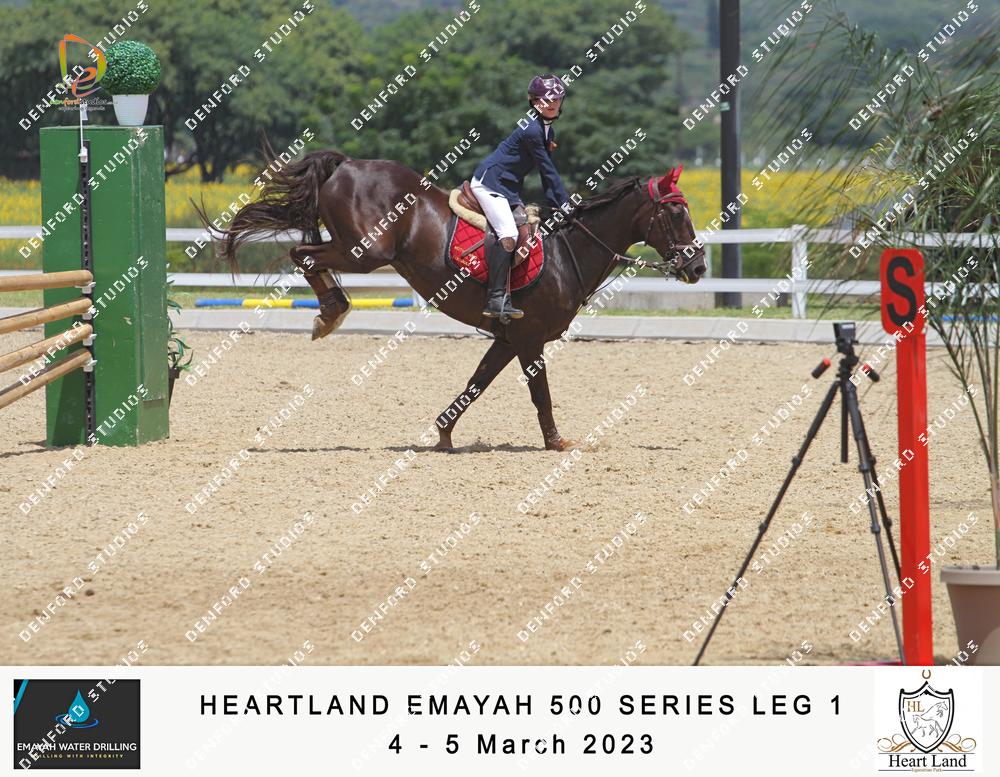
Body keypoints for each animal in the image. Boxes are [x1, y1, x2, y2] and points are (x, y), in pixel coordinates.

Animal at [212, 149, 706, 451]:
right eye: (675, 211)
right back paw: (331, 312)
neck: (567, 253)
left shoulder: (508, 339)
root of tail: (348, 164)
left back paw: (330, 311)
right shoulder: (530, 339)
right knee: (303, 253)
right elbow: (540, 394)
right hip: (365, 253)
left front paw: (444, 434)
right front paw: (555, 442)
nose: (698, 267)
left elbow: (476, 383)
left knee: (306, 252)